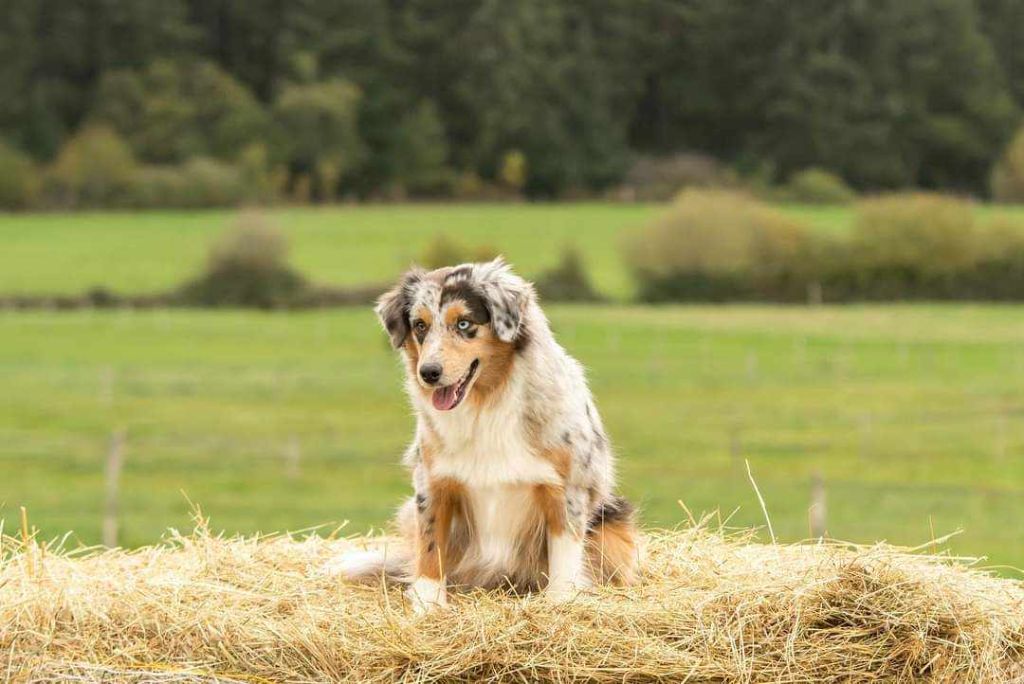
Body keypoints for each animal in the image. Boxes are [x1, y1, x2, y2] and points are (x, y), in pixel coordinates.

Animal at [327, 259, 634, 610]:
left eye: (464, 323)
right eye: (420, 325)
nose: (428, 373)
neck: (485, 403)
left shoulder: (567, 486)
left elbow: (564, 554)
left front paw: (560, 601)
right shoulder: (432, 481)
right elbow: (430, 545)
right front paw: (428, 604)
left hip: (613, 525)